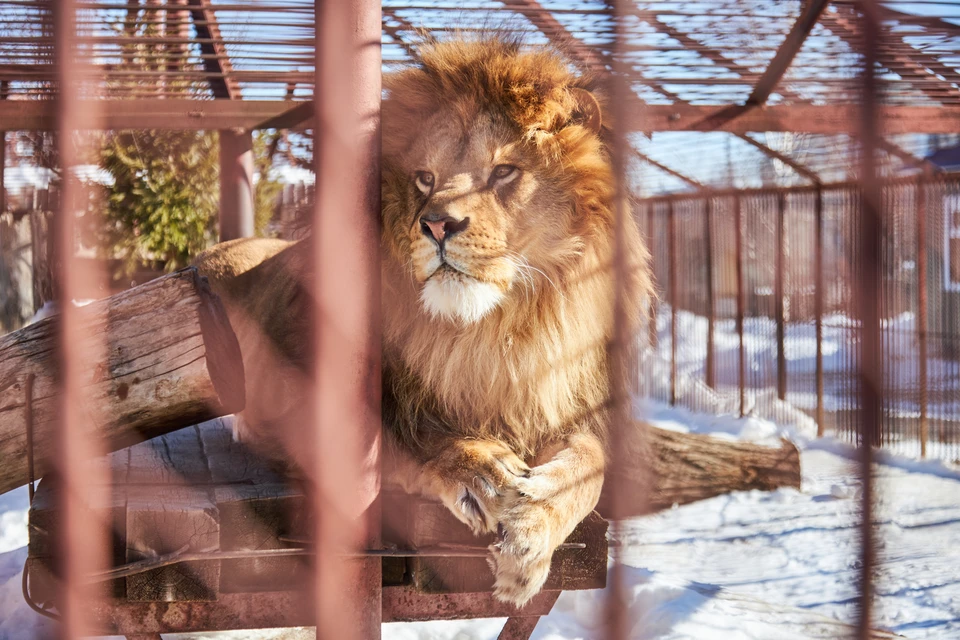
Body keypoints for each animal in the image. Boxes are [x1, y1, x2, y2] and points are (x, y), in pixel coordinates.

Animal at [200, 37, 656, 608]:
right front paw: (477, 467)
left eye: (504, 172)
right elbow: (407, 436)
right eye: (425, 179)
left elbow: (591, 463)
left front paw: (533, 527)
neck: (492, 333)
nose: (437, 224)